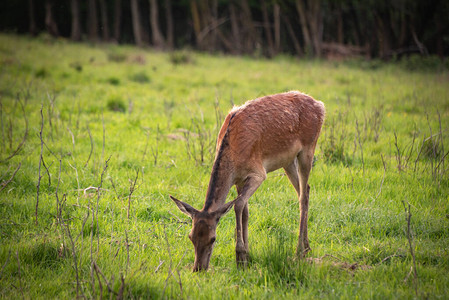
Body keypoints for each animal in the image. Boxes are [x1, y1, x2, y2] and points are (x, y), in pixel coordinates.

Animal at [170, 91, 324, 272]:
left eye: (213, 238)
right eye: (191, 236)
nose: (198, 268)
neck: (233, 156)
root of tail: (320, 104)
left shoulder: (258, 173)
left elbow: (238, 205)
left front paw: (240, 257)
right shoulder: (239, 180)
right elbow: (245, 211)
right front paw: (247, 256)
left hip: (308, 149)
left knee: (303, 196)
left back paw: (299, 250)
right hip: (288, 161)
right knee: (305, 189)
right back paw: (307, 247)